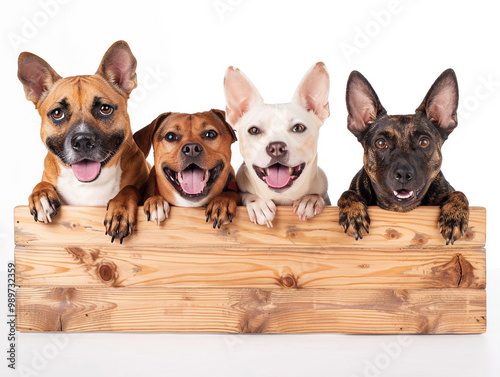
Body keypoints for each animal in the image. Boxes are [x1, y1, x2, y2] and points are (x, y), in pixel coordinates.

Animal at [18, 40, 150, 241]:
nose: (82, 141)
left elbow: (129, 189)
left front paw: (120, 209)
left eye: (105, 109)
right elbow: (41, 184)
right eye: (57, 113)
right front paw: (41, 195)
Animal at [225, 63, 330, 226]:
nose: (276, 148)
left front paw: (310, 199)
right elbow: (246, 194)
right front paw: (257, 204)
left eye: (298, 128)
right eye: (254, 130)